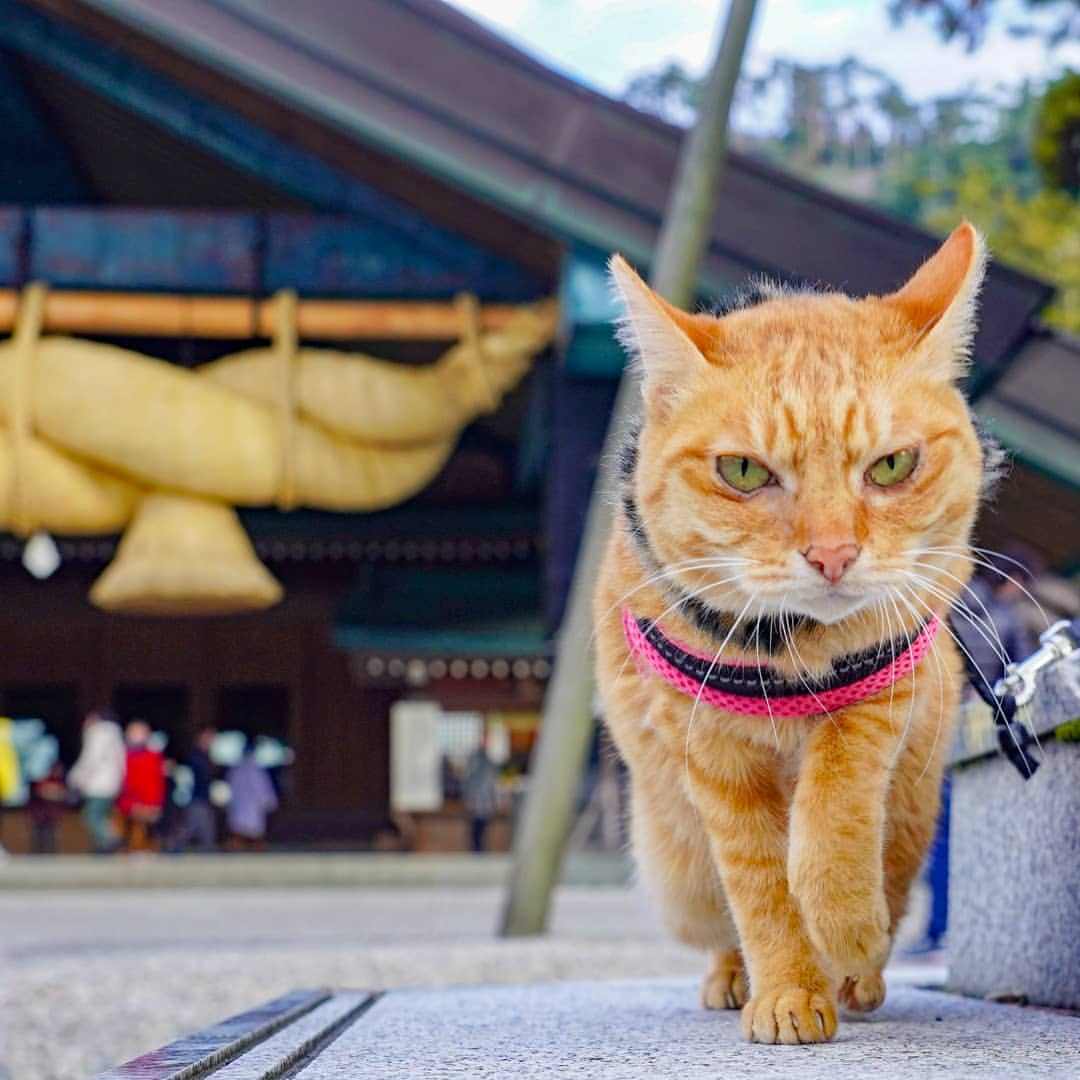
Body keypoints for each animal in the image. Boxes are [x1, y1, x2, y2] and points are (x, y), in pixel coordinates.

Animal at [596, 223, 989, 1041]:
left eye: (892, 464)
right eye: (744, 471)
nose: (833, 554)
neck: (786, 657)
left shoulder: (882, 688)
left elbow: (831, 825)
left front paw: (848, 931)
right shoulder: (714, 759)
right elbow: (762, 888)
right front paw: (787, 994)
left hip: (912, 819)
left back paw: (860, 973)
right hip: (679, 876)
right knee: (719, 923)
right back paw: (734, 978)